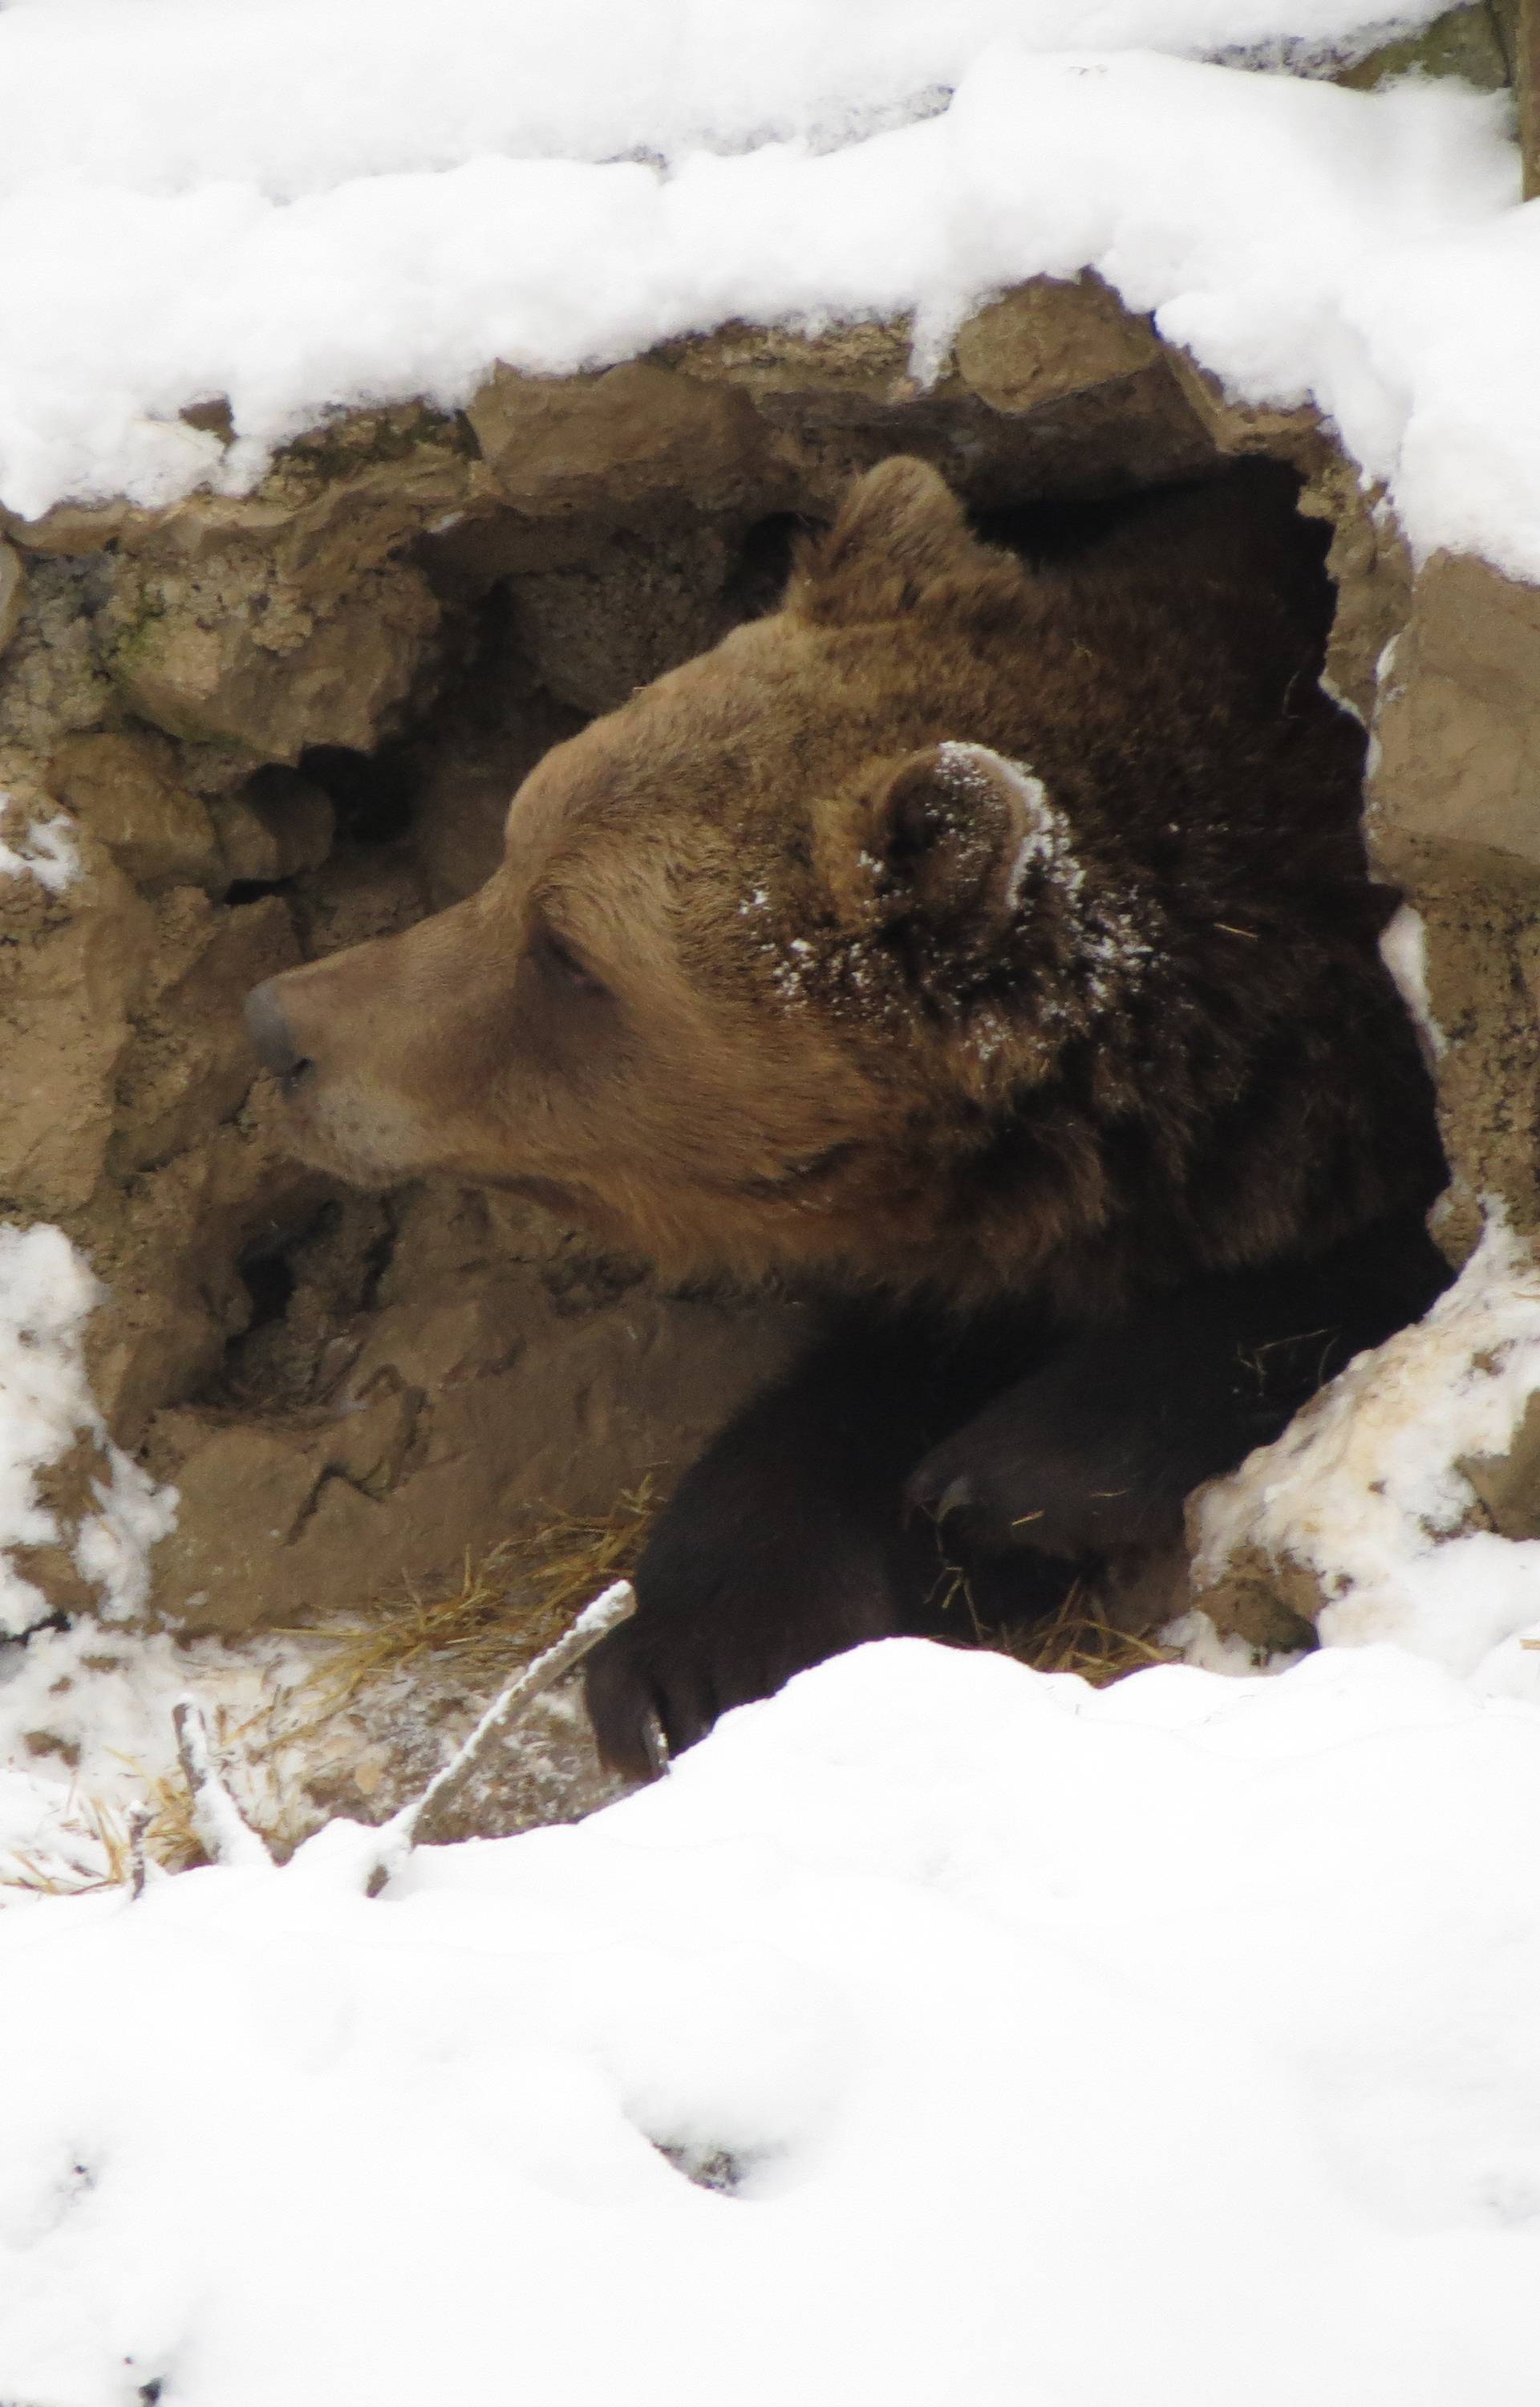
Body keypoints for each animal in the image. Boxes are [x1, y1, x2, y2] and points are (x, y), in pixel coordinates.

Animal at [241, 460, 1444, 1791]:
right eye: (513, 846)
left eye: (568, 954)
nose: (280, 1025)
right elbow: (836, 1403)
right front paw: (686, 1654)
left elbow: (1342, 1283)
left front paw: (1016, 1469)